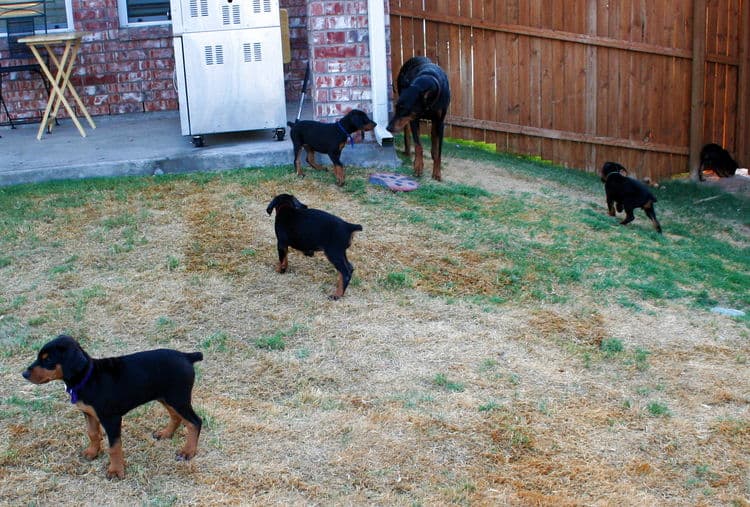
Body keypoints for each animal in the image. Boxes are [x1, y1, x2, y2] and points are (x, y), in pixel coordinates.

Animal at [22, 338, 203, 480]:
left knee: (195, 422)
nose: (24, 374)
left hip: (177, 398)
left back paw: (188, 452)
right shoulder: (89, 413)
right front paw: (92, 452)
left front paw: (115, 471)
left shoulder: (111, 419)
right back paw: (166, 433)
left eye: (48, 359)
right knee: (176, 416)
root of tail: (186, 356)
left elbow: (114, 447)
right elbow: (92, 433)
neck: (87, 378)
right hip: (166, 397)